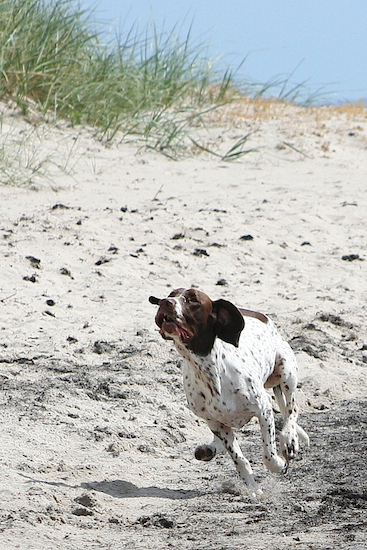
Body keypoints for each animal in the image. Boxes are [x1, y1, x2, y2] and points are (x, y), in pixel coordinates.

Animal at [150, 292, 310, 498]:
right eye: (171, 295)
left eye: (192, 299)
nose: (164, 302)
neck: (207, 370)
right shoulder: (216, 423)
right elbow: (239, 459)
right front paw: (253, 488)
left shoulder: (264, 410)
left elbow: (268, 455)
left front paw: (280, 463)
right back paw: (209, 449)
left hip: (285, 371)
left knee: (291, 410)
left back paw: (289, 438)